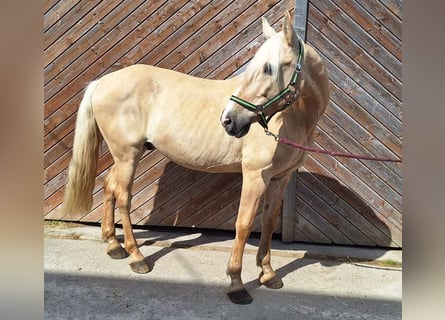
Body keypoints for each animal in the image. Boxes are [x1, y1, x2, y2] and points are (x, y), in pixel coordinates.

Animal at [62, 11, 328, 304]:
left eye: (269, 68)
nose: (229, 120)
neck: (293, 118)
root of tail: (102, 82)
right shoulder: (255, 176)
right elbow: (244, 224)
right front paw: (236, 283)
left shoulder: (280, 178)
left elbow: (268, 222)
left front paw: (268, 274)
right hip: (128, 156)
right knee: (123, 197)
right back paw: (136, 257)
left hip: (122, 156)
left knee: (109, 186)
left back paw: (113, 246)